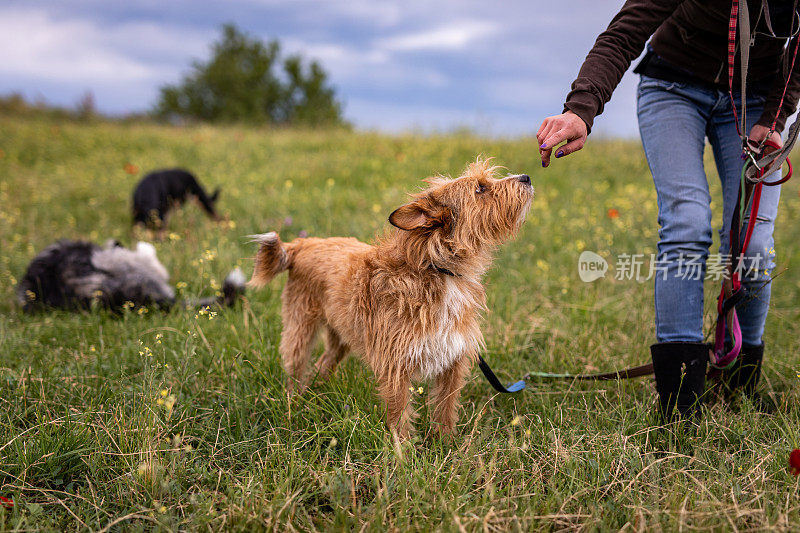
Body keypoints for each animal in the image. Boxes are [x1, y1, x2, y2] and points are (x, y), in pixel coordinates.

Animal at [250, 159, 536, 436]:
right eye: (480, 189)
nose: (526, 177)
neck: (437, 268)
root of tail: (303, 244)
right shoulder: (395, 364)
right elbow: (400, 413)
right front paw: (403, 449)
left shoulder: (452, 361)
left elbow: (445, 409)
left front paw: (446, 443)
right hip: (300, 328)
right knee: (295, 367)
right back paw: (294, 405)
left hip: (341, 334)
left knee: (323, 363)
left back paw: (318, 394)